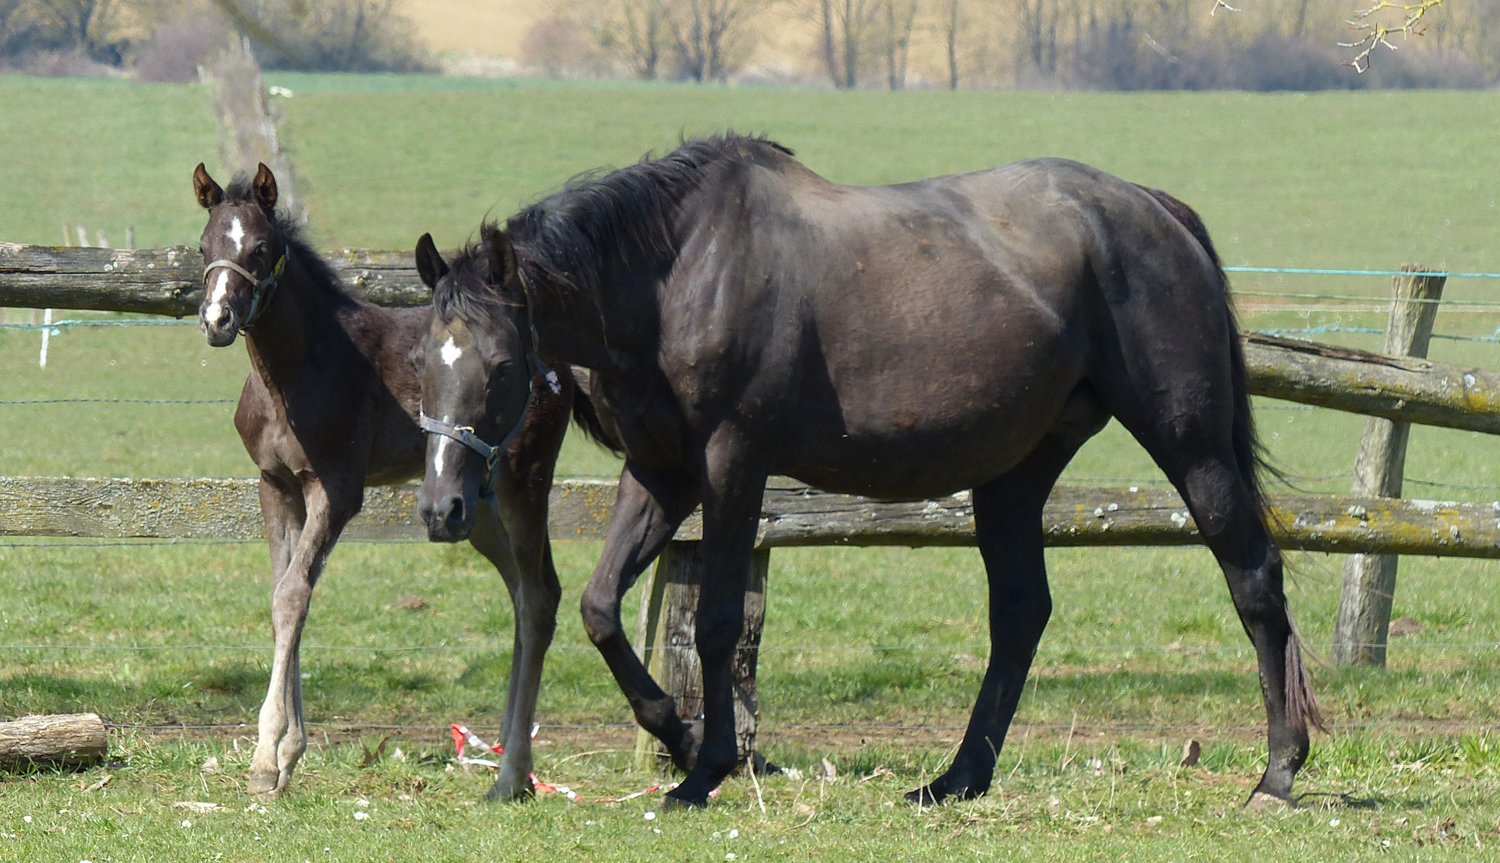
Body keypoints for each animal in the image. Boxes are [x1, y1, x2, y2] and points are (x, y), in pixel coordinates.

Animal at [191, 162, 611, 801]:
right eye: (203, 245)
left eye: (261, 248)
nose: (217, 321)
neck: (300, 366)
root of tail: (554, 360)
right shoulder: (276, 484)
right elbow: (284, 593)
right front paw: (287, 753)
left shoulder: (336, 490)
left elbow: (293, 596)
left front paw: (268, 759)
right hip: (472, 507)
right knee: (522, 592)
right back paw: (510, 753)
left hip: (523, 480)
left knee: (540, 594)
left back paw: (513, 770)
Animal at [413, 133, 1321, 809]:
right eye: (423, 358)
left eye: (502, 366)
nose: (441, 509)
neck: (676, 275)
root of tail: (1155, 209)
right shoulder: (662, 472)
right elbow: (602, 608)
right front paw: (677, 733)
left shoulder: (733, 462)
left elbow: (716, 621)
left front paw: (708, 768)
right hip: (1013, 476)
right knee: (1020, 613)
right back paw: (957, 779)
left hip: (1193, 448)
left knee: (1253, 579)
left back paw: (1277, 773)